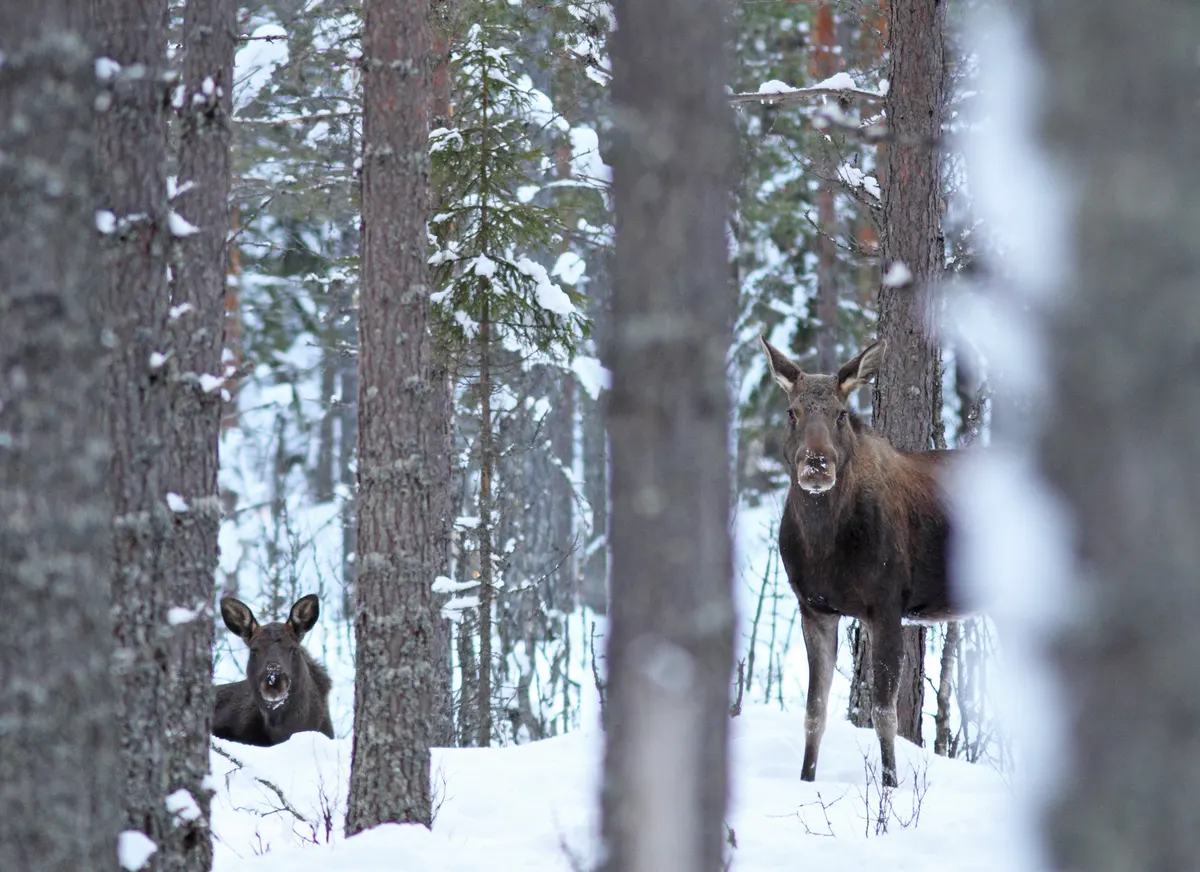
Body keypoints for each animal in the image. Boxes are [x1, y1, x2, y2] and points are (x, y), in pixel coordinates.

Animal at [760, 336, 965, 788]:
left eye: (840, 413)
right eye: (792, 411)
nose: (817, 465)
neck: (824, 549)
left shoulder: (886, 606)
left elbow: (884, 715)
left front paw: (890, 787)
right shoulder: (814, 608)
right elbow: (814, 711)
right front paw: (806, 779)